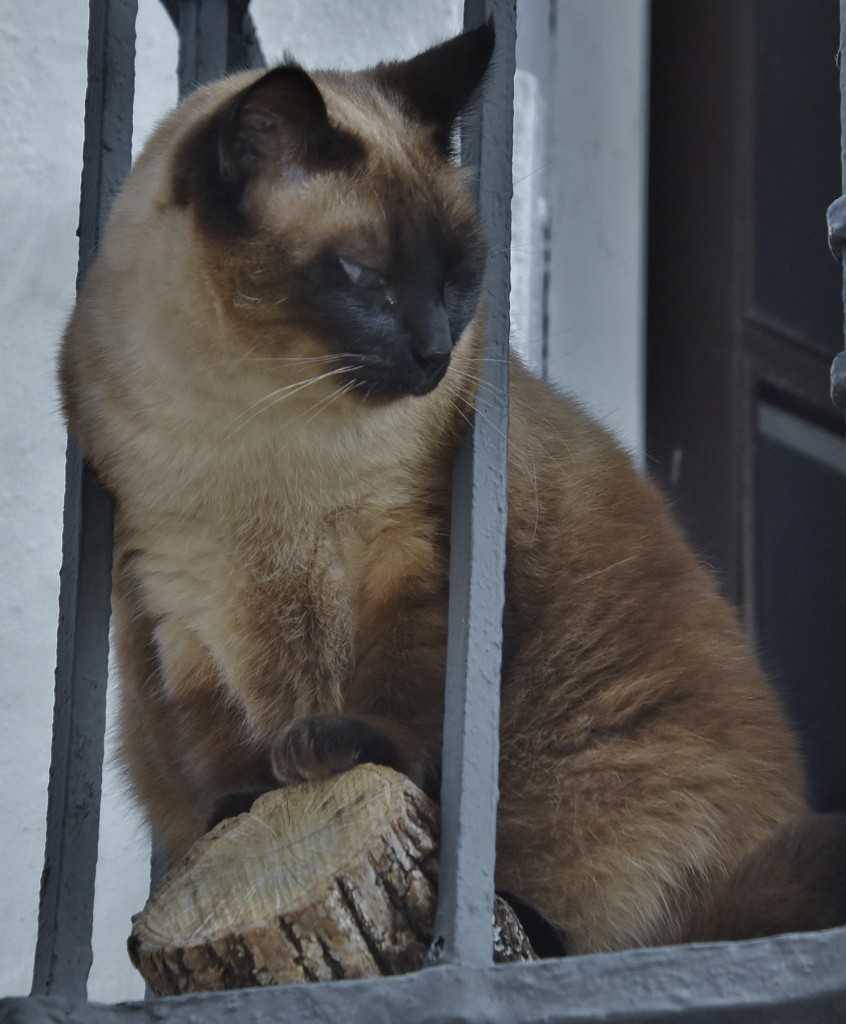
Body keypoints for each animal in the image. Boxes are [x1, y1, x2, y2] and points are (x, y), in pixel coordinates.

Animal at [60, 22, 843, 950]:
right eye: (365, 275)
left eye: (459, 280)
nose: (434, 353)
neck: (257, 430)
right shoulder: (177, 602)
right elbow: (214, 745)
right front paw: (248, 801)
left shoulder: (409, 550)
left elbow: (405, 685)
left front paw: (344, 749)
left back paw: (537, 922)